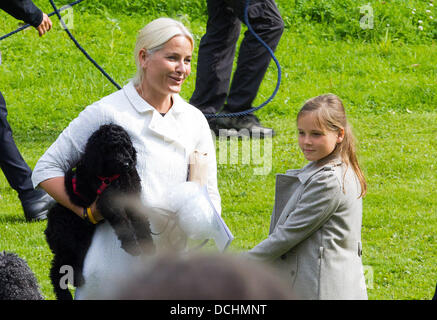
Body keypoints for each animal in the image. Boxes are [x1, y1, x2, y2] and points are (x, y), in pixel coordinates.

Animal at [45, 123, 154, 300]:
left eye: (126, 146)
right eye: (110, 149)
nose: (126, 164)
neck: (115, 177)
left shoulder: (133, 196)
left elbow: (140, 221)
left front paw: (148, 245)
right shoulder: (109, 203)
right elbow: (123, 225)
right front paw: (132, 247)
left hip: (80, 240)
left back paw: (78, 279)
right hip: (68, 241)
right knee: (56, 270)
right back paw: (65, 294)